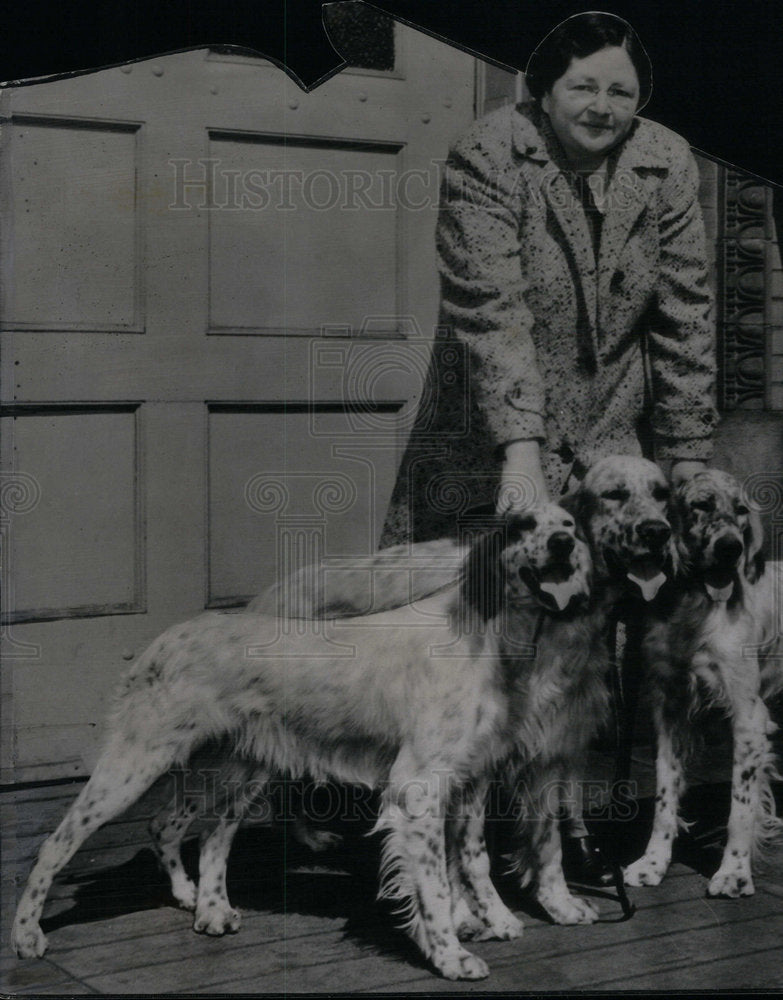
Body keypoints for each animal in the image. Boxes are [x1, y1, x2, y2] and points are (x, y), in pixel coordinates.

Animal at [12, 500, 608, 976]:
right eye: (524, 525)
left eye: (569, 526)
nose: (562, 544)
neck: (483, 636)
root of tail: (162, 641)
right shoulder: (418, 788)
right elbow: (436, 885)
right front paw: (450, 955)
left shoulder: (470, 782)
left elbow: (473, 863)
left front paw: (493, 920)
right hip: (135, 764)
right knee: (58, 843)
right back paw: (26, 934)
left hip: (238, 771)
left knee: (191, 833)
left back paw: (203, 906)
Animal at [624, 468, 783, 900]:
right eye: (701, 505)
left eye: (741, 510)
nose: (730, 548)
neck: (695, 608)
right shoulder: (668, 713)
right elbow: (665, 798)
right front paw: (653, 863)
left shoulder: (748, 719)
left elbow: (740, 808)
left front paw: (734, 872)